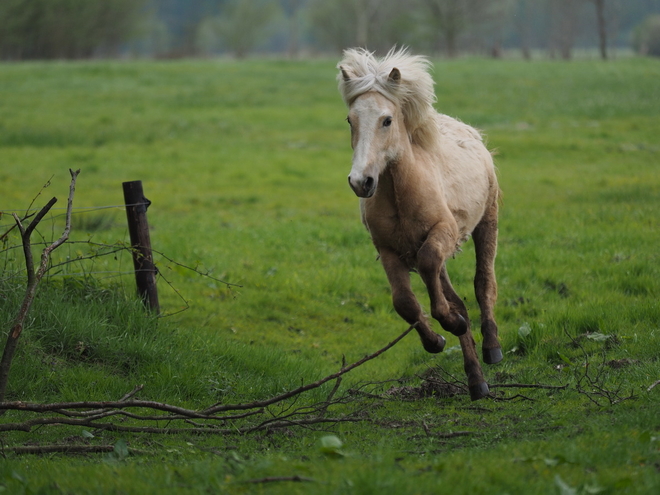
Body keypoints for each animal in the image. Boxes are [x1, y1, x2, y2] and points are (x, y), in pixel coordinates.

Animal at [338, 48, 502, 402]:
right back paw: (476, 382)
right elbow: (404, 302)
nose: (361, 182)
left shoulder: (443, 232)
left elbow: (432, 271)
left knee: (484, 283)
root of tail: (470, 132)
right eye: (350, 120)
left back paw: (492, 348)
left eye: (387, 120)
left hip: (487, 223)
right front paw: (437, 339)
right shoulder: (388, 250)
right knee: (453, 294)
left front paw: (451, 325)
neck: (402, 193)